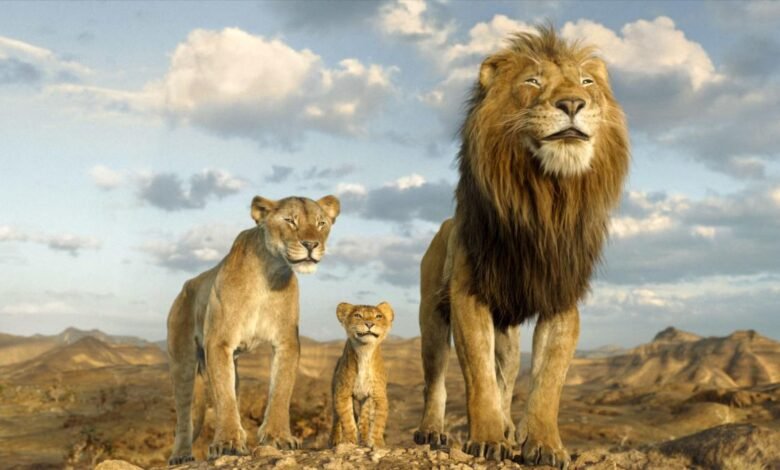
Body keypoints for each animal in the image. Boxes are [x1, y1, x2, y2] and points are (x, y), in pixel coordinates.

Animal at [166, 195, 340, 464]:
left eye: (321, 223)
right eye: (290, 221)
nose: (311, 244)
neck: (269, 273)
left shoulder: (286, 341)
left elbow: (281, 390)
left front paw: (278, 437)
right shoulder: (219, 342)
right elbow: (224, 397)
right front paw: (227, 443)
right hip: (182, 361)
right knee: (185, 412)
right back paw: (181, 455)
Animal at [329, 302, 394, 448]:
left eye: (378, 316)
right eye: (358, 315)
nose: (369, 324)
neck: (365, 351)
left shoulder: (378, 396)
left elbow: (378, 422)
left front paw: (377, 443)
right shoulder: (342, 393)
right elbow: (347, 420)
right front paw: (349, 441)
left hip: (366, 400)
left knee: (364, 421)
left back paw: (364, 440)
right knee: (336, 418)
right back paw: (334, 440)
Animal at [413, 26, 629, 468]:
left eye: (587, 82)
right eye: (533, 82)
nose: (572, 103)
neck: (545, 198)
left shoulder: (561, 297)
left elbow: (548, 382)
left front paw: (544, 445)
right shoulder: (469, 294)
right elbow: (478, 377)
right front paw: (487, 438)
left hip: (508, 335)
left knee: (507, 376)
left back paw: (510, 426)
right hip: (431, 316)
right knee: (436, 378)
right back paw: (432, 430)